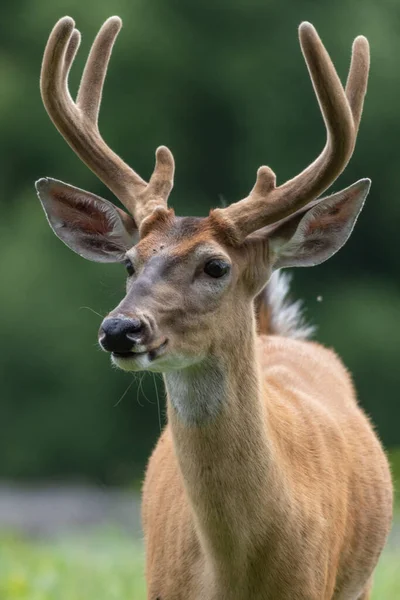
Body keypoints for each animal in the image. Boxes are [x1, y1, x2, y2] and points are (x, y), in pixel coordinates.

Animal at [36, 15, 394, 600]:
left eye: (216, 266)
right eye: (129, 262)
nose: (120, 328)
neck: (236, 568)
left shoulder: (316, 584)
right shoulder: (158, 583)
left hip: (358, 581)